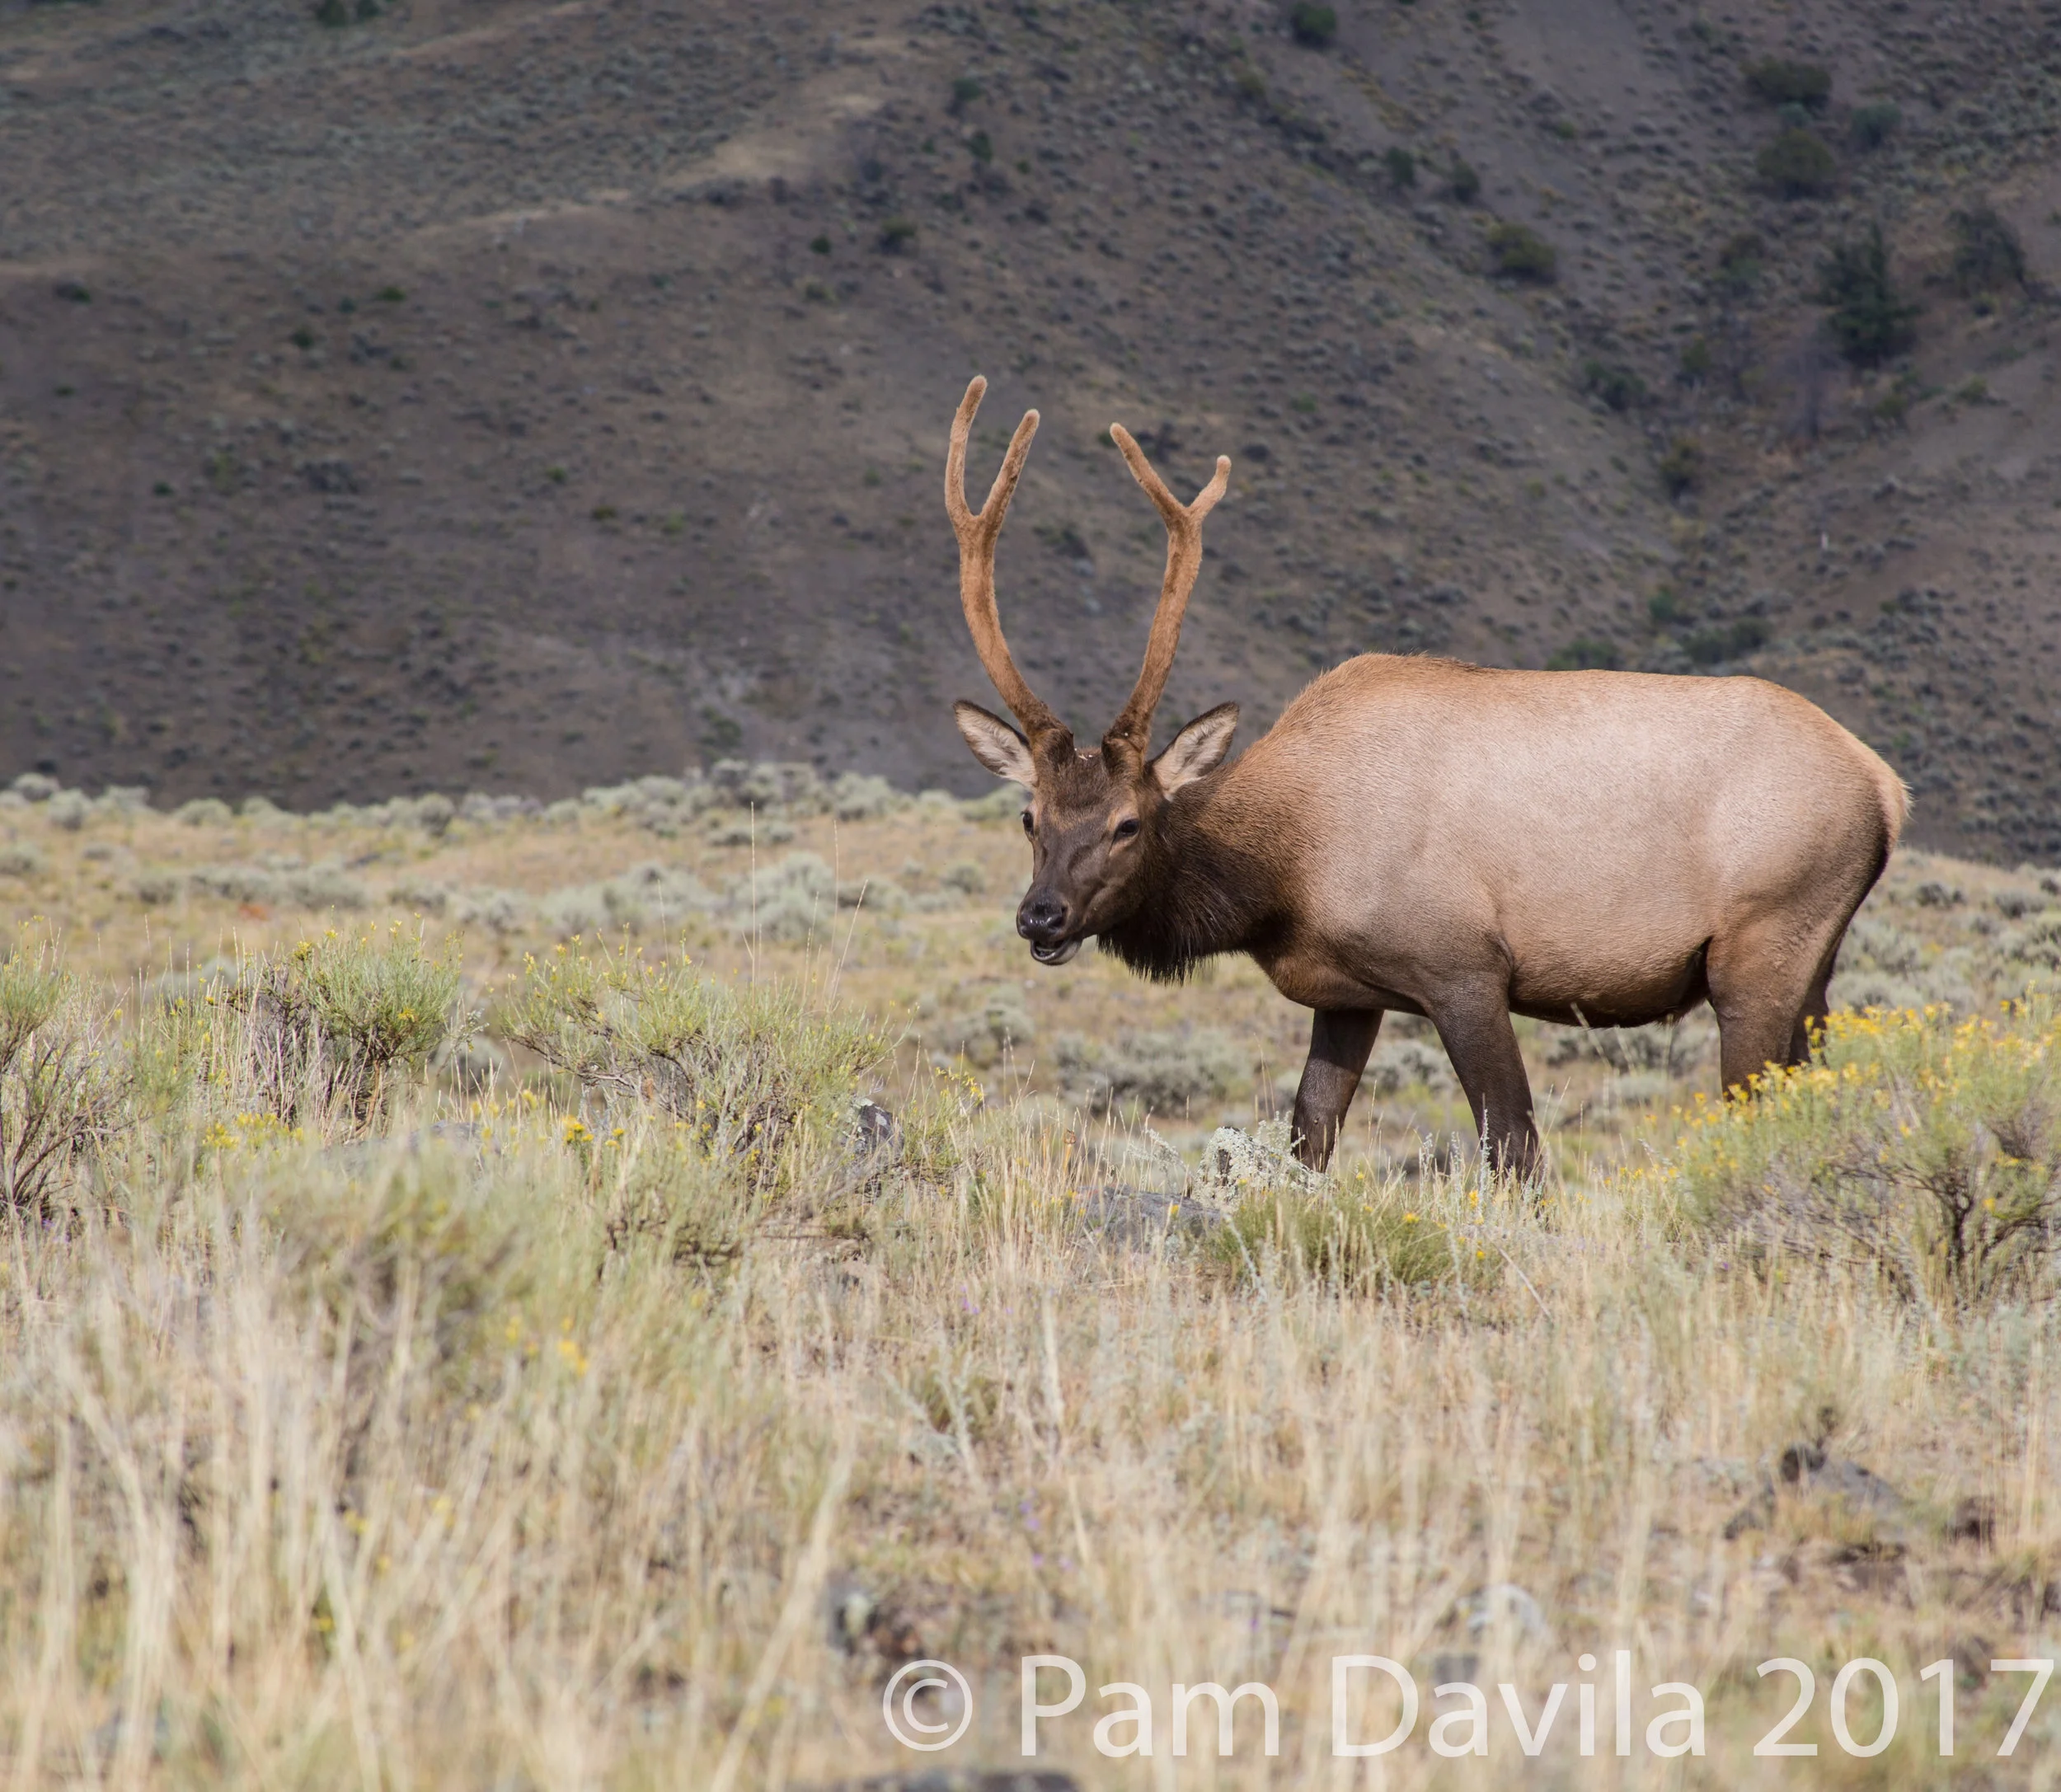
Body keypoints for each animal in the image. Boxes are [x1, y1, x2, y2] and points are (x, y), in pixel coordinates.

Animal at [944, 375, 1909, 1175]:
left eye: (1128, 822)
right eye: (1030, 817)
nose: (1041, 916)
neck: (1283, 874)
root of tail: (1886, 787)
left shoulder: (1464, 968)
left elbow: (1513, 1145)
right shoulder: (1345, 994)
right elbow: (1308, 1139)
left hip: (1761, 945)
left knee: (1758, 1112)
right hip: (1814, 964)